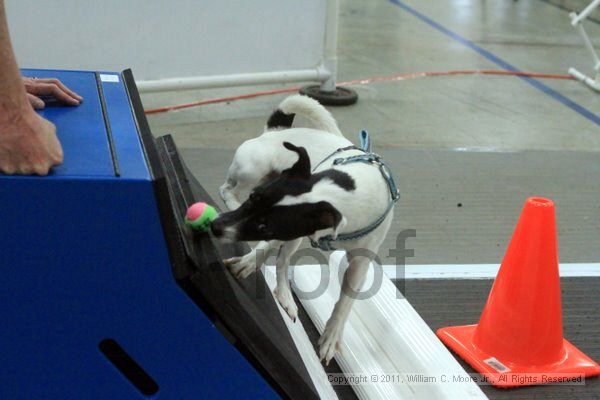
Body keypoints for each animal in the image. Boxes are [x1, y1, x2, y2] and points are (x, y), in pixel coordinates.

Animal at [211, 95, 394, 364]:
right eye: (254, 198)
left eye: (265, 225)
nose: (215, 227)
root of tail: (276, 130)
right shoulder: (291, 233)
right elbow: (273, 253)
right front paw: (247, 263)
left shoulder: (359, 263)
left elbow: (344, 303)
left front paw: (331, 337)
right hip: (252, 170)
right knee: (227, 189)